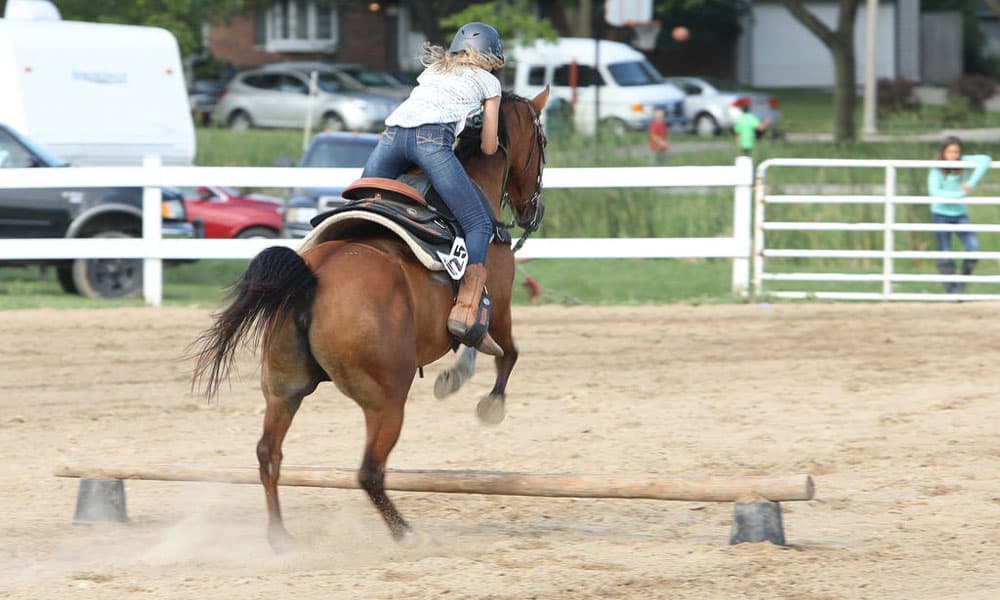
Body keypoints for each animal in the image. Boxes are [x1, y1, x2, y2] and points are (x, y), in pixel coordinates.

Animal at [188, 89, 548, 548]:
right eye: (542, 143)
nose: (533, 211)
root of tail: (311, 278)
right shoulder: (497, 305)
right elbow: (503, 351)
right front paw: (488, 403)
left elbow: (478, 346)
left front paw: (455, 378)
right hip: (385, 401)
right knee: (369, 472)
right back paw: (405, 533)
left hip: (284, 388)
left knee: (269, 453)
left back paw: (280, 536)